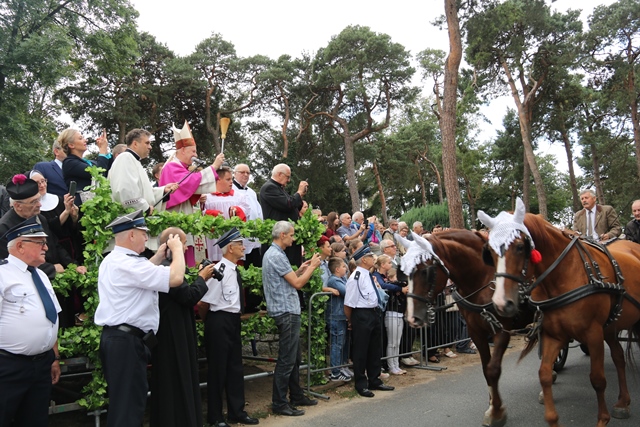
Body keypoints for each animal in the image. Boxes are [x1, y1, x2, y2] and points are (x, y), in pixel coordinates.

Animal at [404, 229, 534, 427]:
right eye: (404, 273)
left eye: (425, 271)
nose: (413, 317)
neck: (482, 280)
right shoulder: (476, 333)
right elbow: (486, 370)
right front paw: (493, 405)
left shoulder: (501, 330)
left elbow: (493, 369)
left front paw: (496, 411)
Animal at [479, 199, 640, 427]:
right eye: (490, 253)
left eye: (519, 247)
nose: (502, 304)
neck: (563, 276)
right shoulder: (554, 335)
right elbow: (544, 374)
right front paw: (552, 418)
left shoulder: (593, 334)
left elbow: (597, 379)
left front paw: (602, 419)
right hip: (611, 326)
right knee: (618, 357)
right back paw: (623, 402)